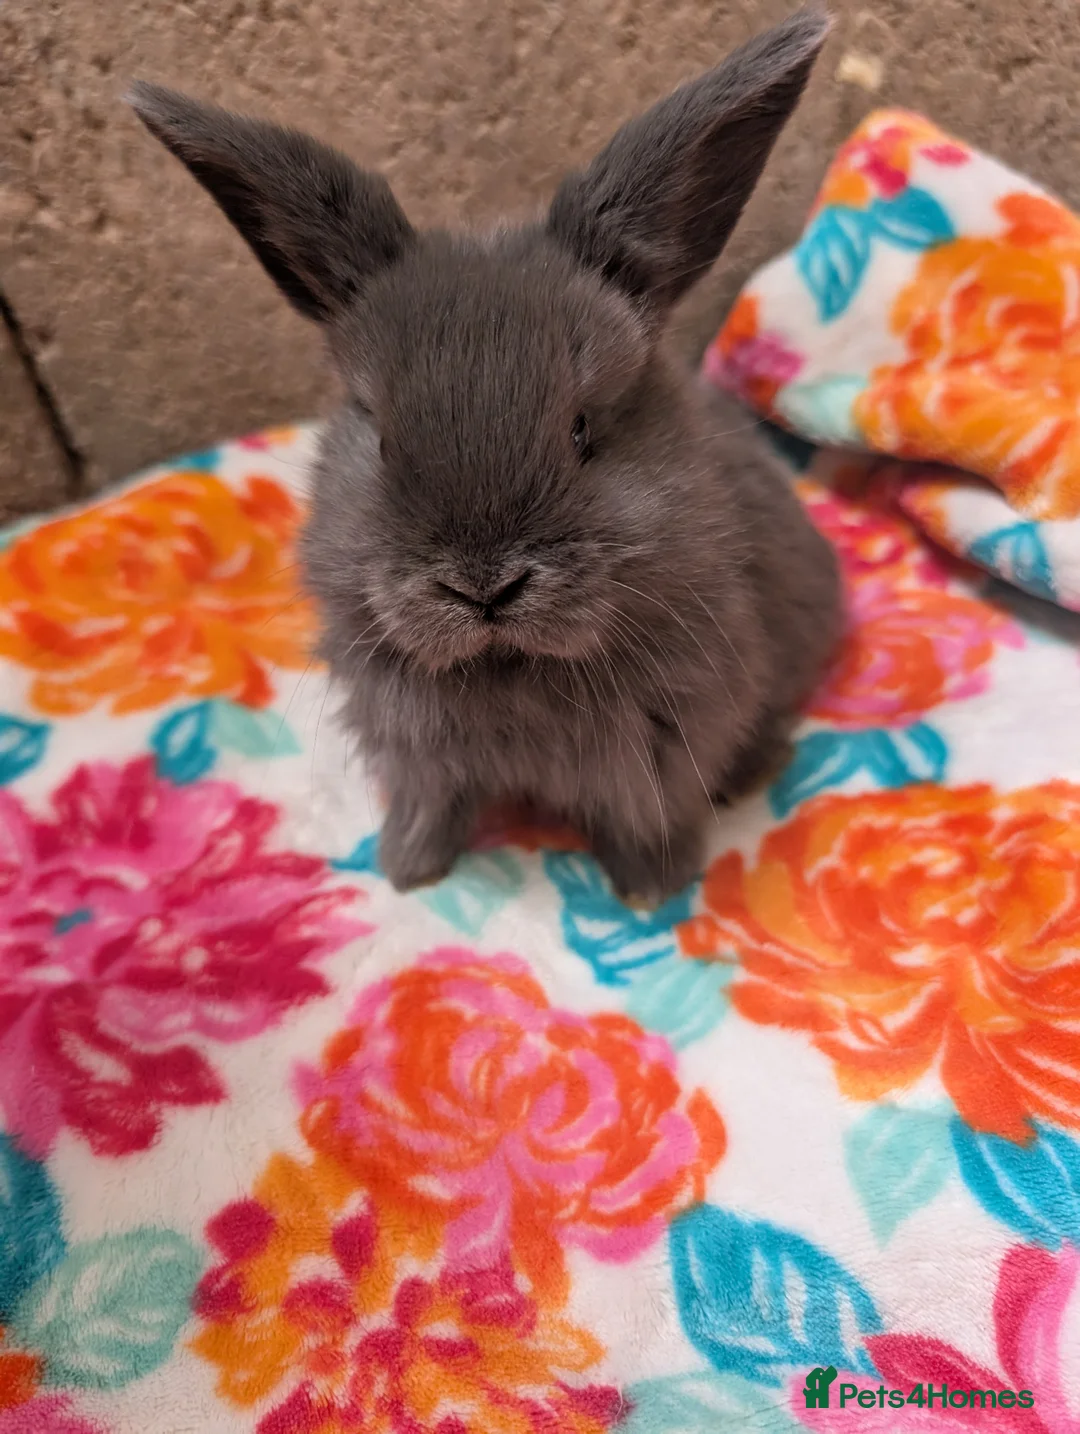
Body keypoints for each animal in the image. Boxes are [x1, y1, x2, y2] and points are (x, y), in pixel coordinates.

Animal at [129, 6, 842, 905]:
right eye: (382, 437)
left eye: (582, 430)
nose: (484, 587)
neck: (508, 668)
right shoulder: (419, 760)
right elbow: (430, 813)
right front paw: (407, 874)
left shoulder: (663, 754)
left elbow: (647, 822)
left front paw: (649, 892)